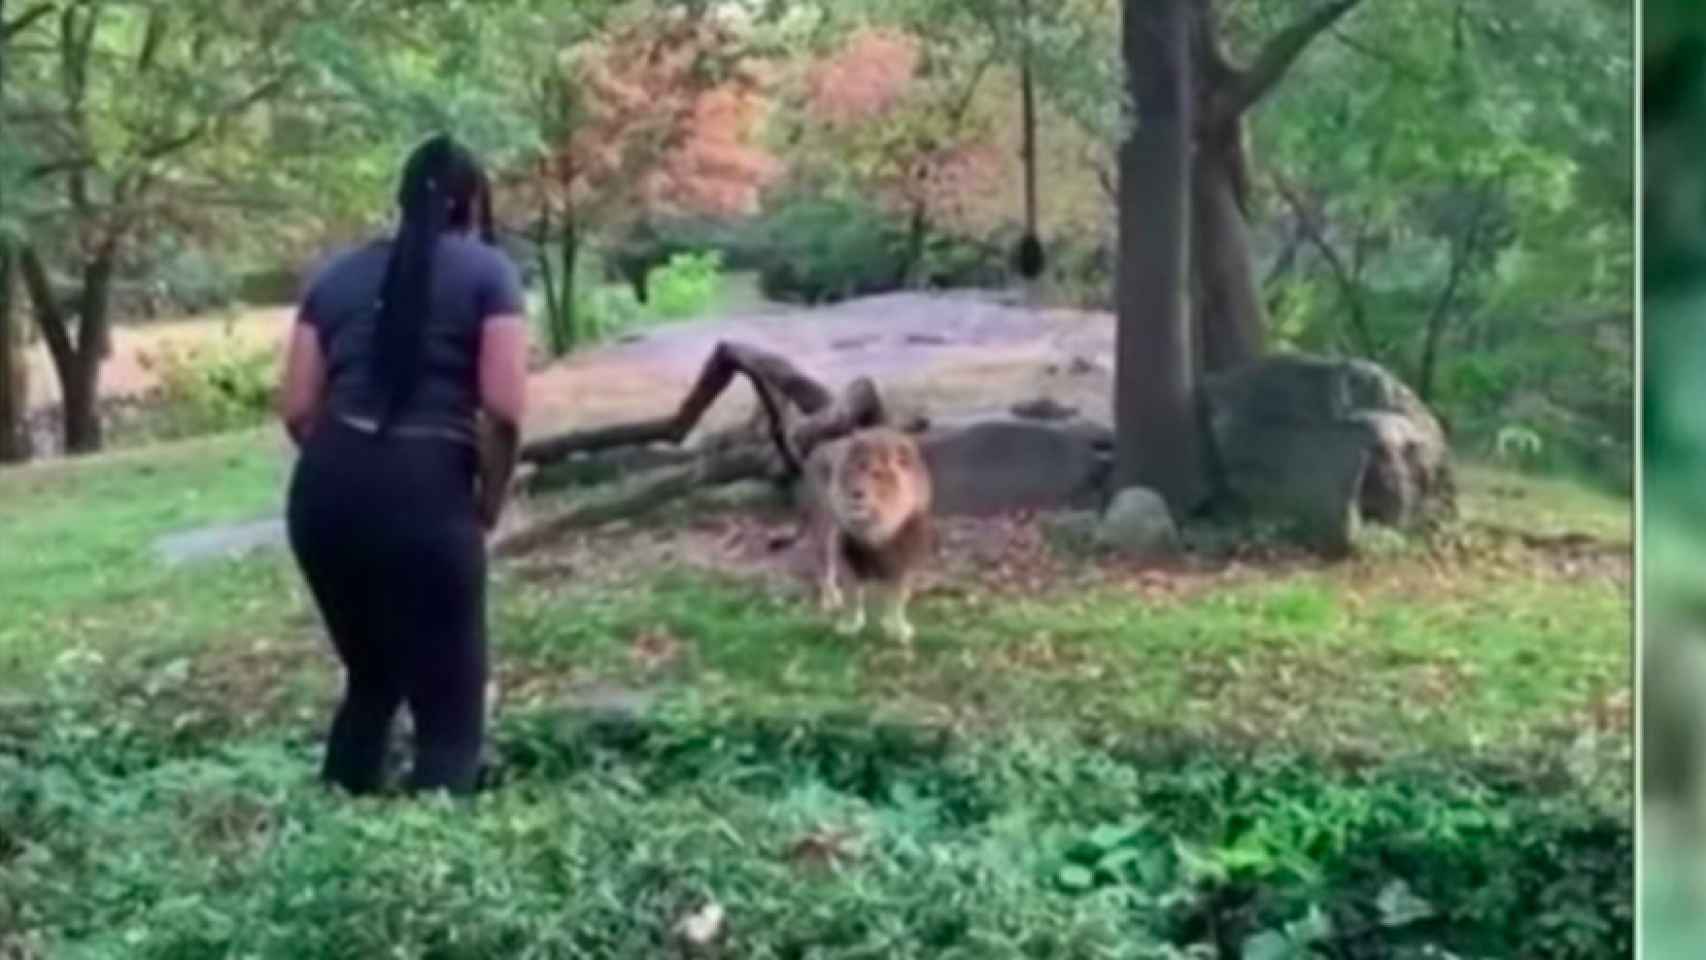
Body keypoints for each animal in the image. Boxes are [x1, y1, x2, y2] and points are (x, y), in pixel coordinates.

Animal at [805, 427, 941, 644]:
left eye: (876, 474)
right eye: (851, 471)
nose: (856, 493)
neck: (876, 526)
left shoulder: (904, 557)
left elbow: (897, 597)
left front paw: (897, 628)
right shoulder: (848, 553)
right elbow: (852, 594)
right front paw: (850, 625)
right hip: (823, 532)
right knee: (825, 569)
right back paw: (831, 601)